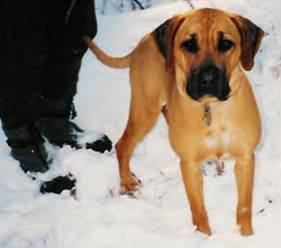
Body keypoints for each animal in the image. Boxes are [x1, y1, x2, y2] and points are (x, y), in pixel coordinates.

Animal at [84, 7, 264, 235]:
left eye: (225, 44)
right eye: (189, 44)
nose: (207, 79)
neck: (211, 108)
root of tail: (145, 39)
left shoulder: (245, 159)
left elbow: (244, 206)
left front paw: (246, 235)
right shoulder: (188, 165)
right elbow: (198, 210)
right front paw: (203, 236)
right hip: (145, 109)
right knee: (122, 145)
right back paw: (127, 184)